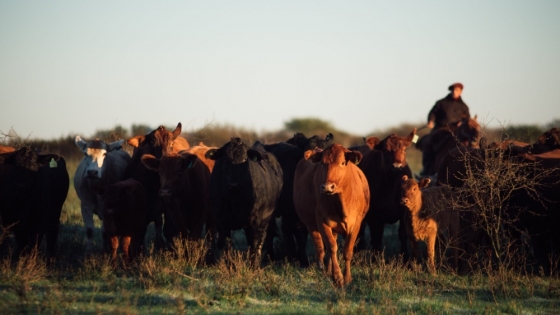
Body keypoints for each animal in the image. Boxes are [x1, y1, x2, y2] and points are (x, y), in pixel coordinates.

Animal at [206, 138, 284, 266]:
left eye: (245, 160)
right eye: (225, 160)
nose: (233, 184)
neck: (235, 200)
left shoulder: (256, 220)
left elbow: (255, 245)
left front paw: (253, 266)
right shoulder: (222, 221)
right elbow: (227, 245)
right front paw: (230, 266)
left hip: (267, 219)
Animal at [290, 144, 370, 288]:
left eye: (342, 163)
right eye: (322, 163)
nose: (327, 187)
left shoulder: (356, 224)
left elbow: (347, 251)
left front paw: (347, 277)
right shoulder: (322, 222)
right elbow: (332, 247)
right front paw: (337, 277)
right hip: (311, 224)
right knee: (321, 248)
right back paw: (324, 270)